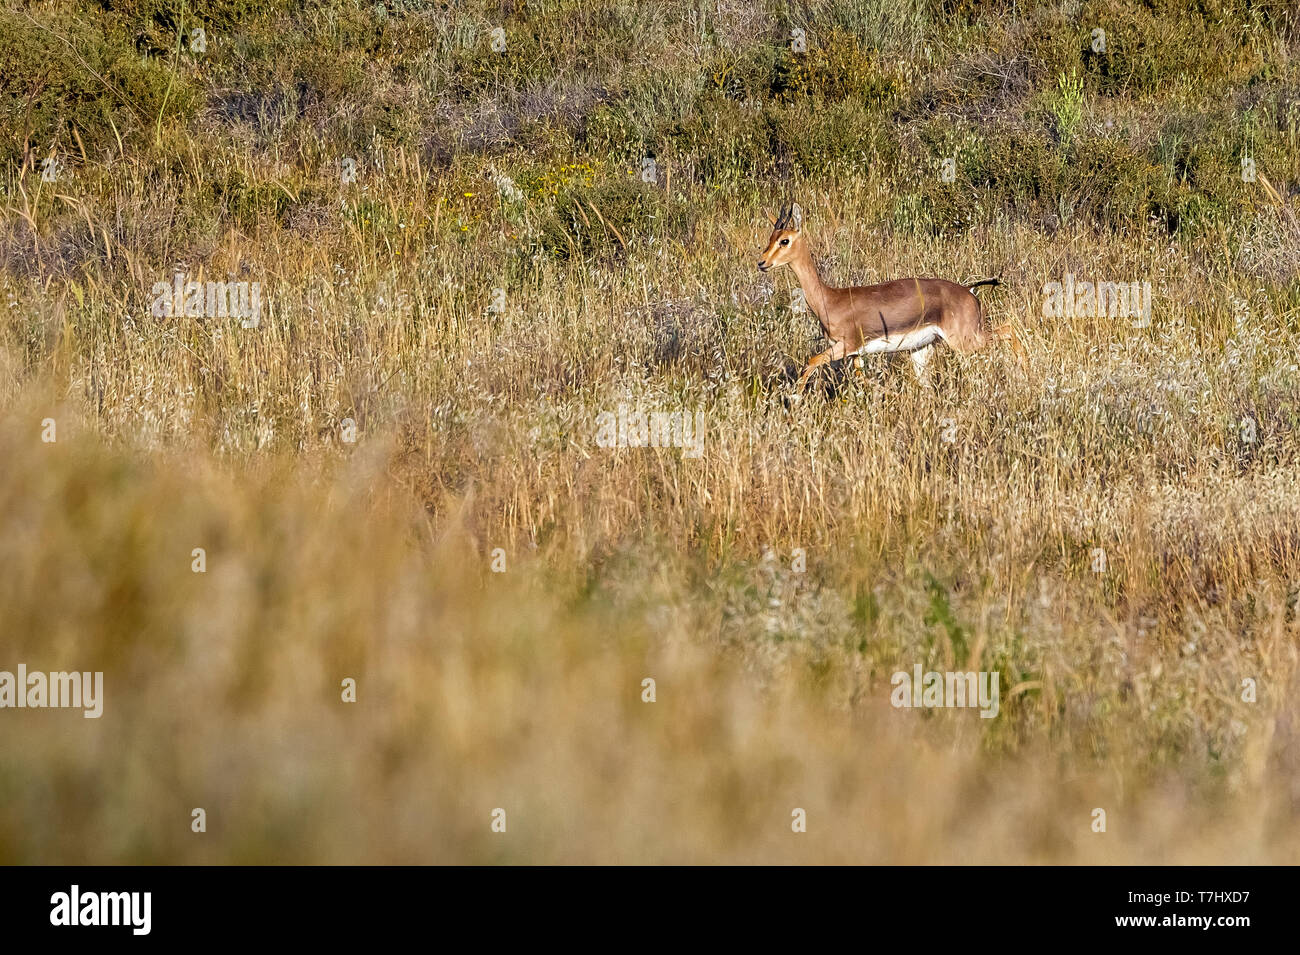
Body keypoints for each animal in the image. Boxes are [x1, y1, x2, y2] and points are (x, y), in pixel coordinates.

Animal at [758, 203, 1026, 393]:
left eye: (785, 240)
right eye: (770, 238)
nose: (762, 263)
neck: (831, 300)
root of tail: (969, 291)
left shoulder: (846, 347)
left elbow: (811, 361)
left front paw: (795, 398)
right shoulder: (856, 356)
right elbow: (863, 381)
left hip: (966, 340)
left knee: (1009, 329)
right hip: (923, 349)